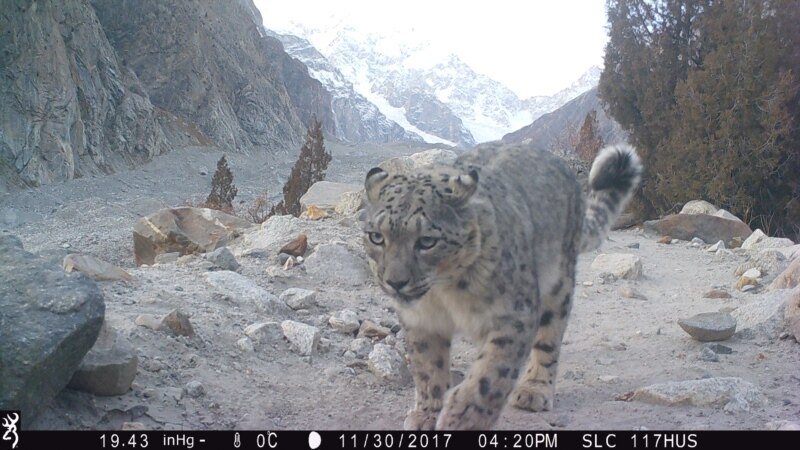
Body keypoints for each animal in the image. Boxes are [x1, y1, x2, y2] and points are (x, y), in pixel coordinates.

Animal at [361, 142, 641, 430]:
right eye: (376, 237)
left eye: (427, 241)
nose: (395, 282)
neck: (444, 294)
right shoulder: (420, 321)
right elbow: (428, 367)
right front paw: (427, 414)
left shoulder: (513, 316)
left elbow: (491, 373)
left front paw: (462, 418)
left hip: (558, 284)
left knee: (548, 339)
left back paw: (534, 389)